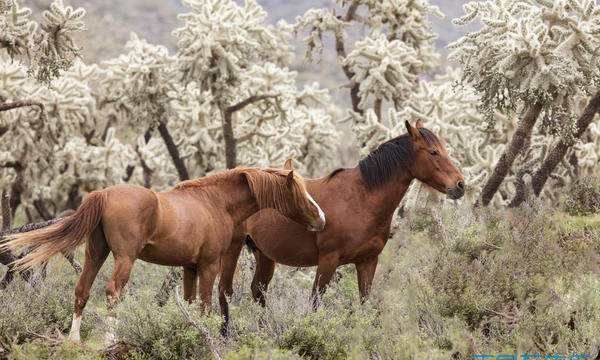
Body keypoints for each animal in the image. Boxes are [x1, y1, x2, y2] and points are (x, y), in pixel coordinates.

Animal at [2, 165, 326, 340]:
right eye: (299, 191)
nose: (322, 219)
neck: (215, 202)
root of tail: (104, 194)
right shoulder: (209, 266)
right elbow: (205, 304)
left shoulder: (189, 268)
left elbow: (190, 302)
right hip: (124, 259)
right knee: (112, 291)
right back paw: (110, 338)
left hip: (96, 254)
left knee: (82, 290)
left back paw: (74, 340)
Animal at [218, 122, 466, 322]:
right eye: (433, 152)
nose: (460, 185)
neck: (361, 198)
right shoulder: (328, 261)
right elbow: (315, 302)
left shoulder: (368, 261)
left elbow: (364, 302)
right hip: (233, 251)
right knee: (225, 291)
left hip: (265, 255)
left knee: (258, 292)